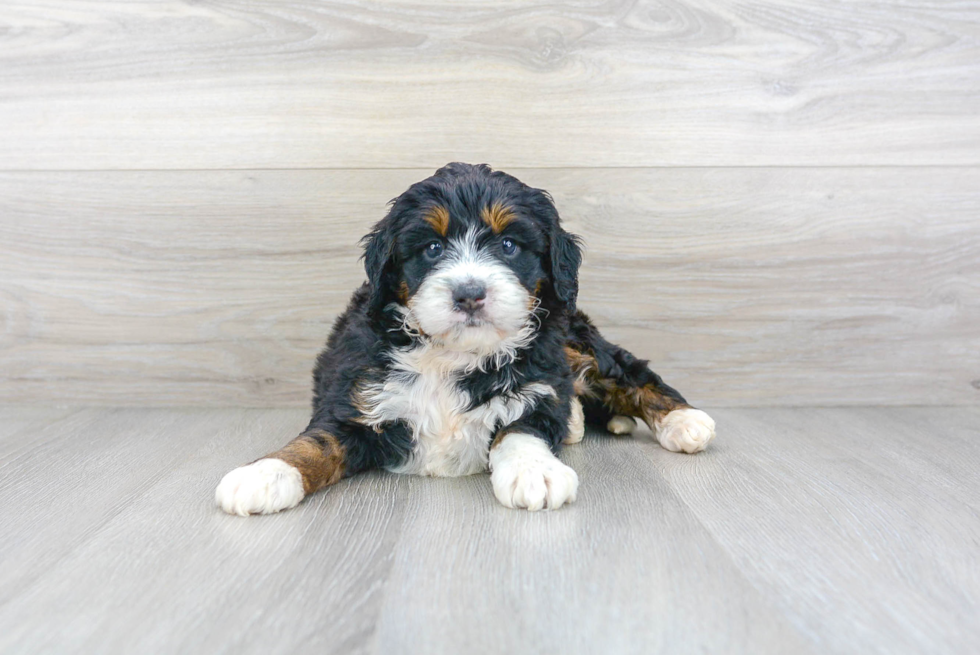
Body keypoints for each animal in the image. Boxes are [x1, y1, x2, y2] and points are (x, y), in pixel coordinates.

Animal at [216, 161, 712, 516]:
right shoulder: (355, 398)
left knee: (625, 371)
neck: (453, 353)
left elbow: (520, 429)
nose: (469, 293)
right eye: (432, 248)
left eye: (509, 245)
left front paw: (535, 472)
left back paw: (683, 421)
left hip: (573, 335)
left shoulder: (537, 388)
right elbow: (315, 442)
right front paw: (263, 473)